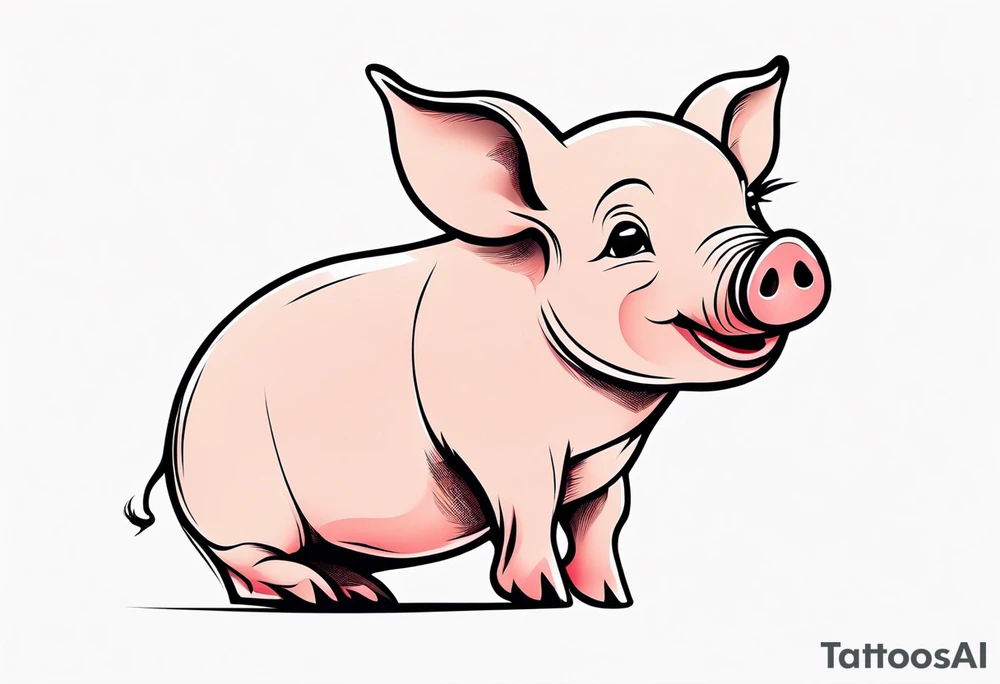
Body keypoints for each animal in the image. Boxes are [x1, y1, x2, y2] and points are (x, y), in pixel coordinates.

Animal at [126, 55, 830, 610]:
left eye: (753, 205)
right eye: (627, 238)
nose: (782, 256)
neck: (604, 408)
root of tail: (174, 429)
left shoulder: (608, 459)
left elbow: (603, 517)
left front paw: (612, 599)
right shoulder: (503, 443)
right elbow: (530, 510)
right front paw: (545, 599)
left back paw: (365, 596)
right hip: (241, 495)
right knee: (247, 560)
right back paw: (320, 596)